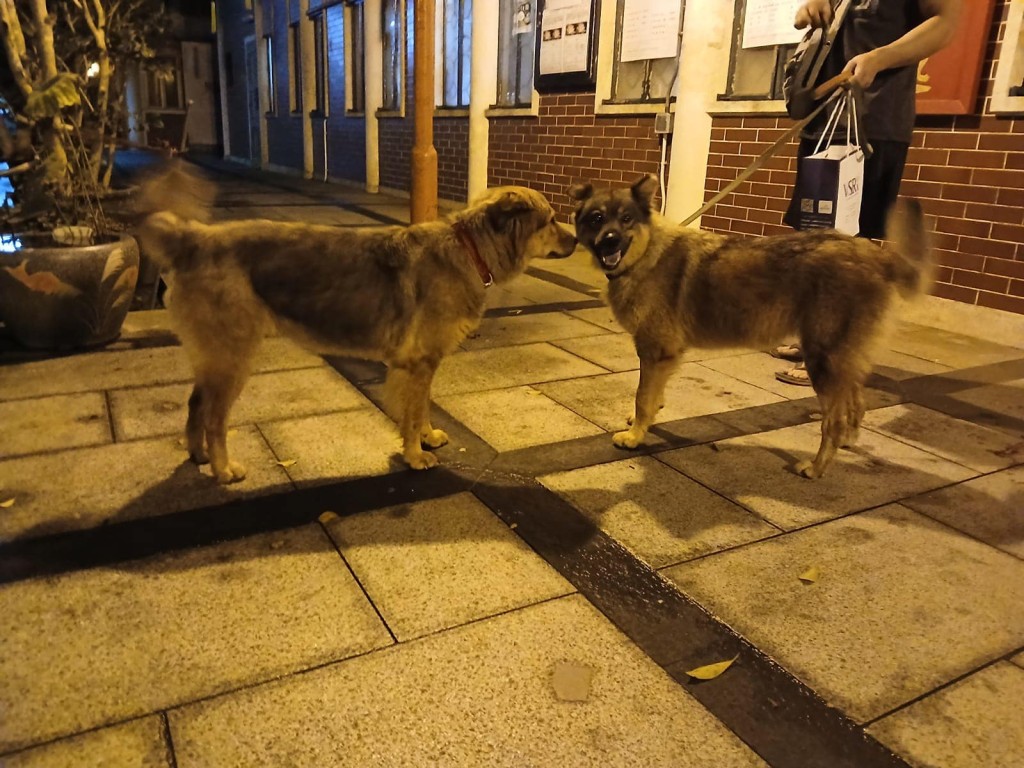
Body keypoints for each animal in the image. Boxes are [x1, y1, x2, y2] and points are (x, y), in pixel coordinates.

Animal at [134, 165, 577, 483]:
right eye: (552, 220)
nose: (578, 239)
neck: (470, 250)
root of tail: (195, 239)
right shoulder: (418, 364)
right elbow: (412, 413)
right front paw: (415, 454)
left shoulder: (423, 365)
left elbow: (422, 406)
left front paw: (427, 437)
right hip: (233, 358)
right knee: (213, 418)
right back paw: (223, 469)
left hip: (214, 358)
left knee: (195, 403)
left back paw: (198, 455)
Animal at [573, 175, 933, 479]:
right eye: (596, 219)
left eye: (626, 219)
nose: (610, 242)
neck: (646, 253)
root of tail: (875, 255)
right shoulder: (663, 357)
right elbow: (653, 396)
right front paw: (643, 423)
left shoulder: (654, 351)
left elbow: (642, 398)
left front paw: (635, 436)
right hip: (843, 362)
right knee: (855, 405)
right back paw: (846, 442)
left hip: (822, 362)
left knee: (833, 421)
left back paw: (816, 468)